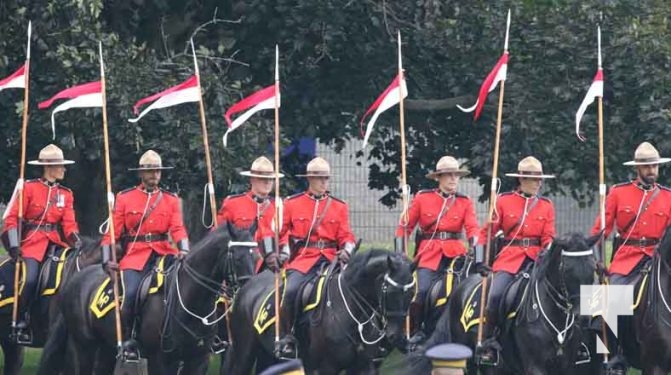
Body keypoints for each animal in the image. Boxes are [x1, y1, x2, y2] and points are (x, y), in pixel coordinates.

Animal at [38, 223, 258, 375]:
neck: (191, 301)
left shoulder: (198, 360)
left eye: (254, 254)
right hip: (84, 347)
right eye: (235, 254)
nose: (250, 288)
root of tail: (75, 280)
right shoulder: (160, 360)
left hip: (105, 349)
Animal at [226, 250, 414, 375]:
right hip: (244, 352)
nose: (396, 336)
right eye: (390, 291)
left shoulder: (364, 367)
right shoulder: (323, 368)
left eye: (411, 294)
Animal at [404, 234, 600, 374]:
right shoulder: (535, 366)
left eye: (593, 268)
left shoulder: (566, 366)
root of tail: (461, 287)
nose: (583, 317)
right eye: (567, 269)